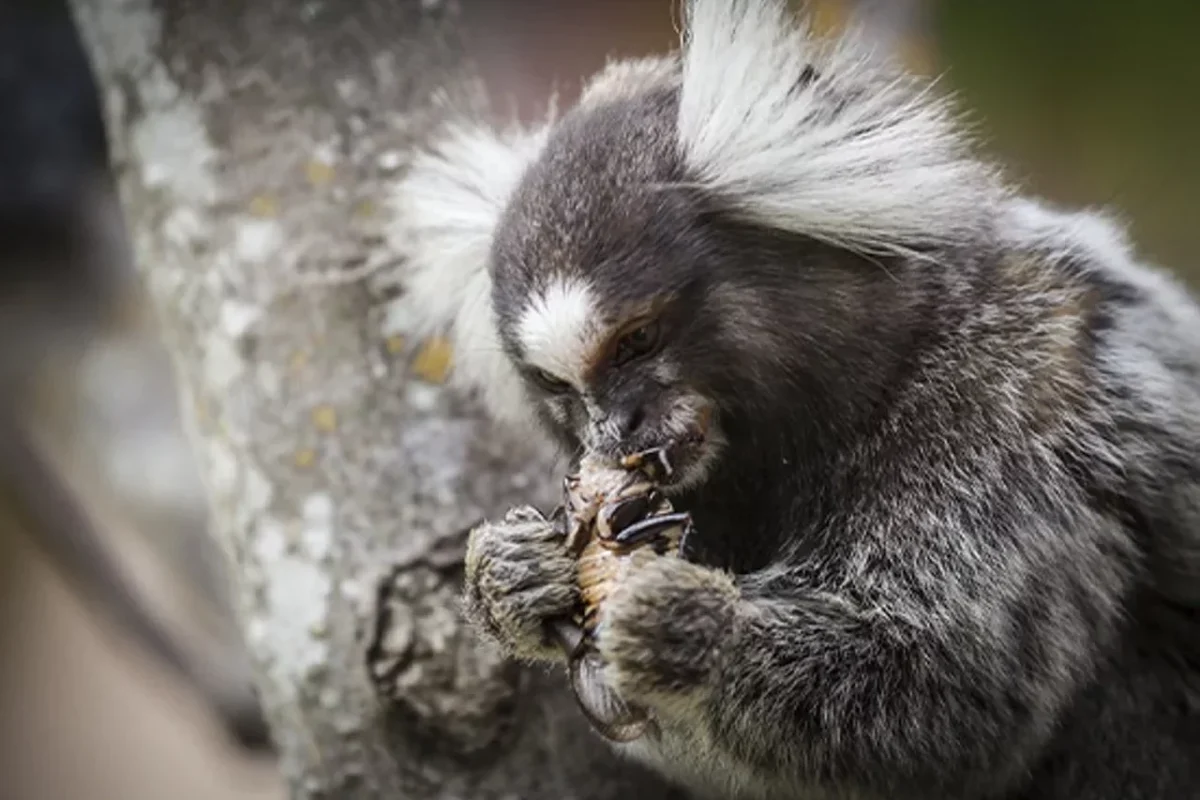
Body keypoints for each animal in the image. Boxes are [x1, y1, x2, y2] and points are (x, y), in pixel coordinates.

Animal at [393, 3, 1200, 796]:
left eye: (637, 340)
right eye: (559, 386)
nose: (614, 429)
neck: (877, 381)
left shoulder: (1007, 418)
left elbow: (951, 698)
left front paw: (693, 629)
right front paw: (509, 582)